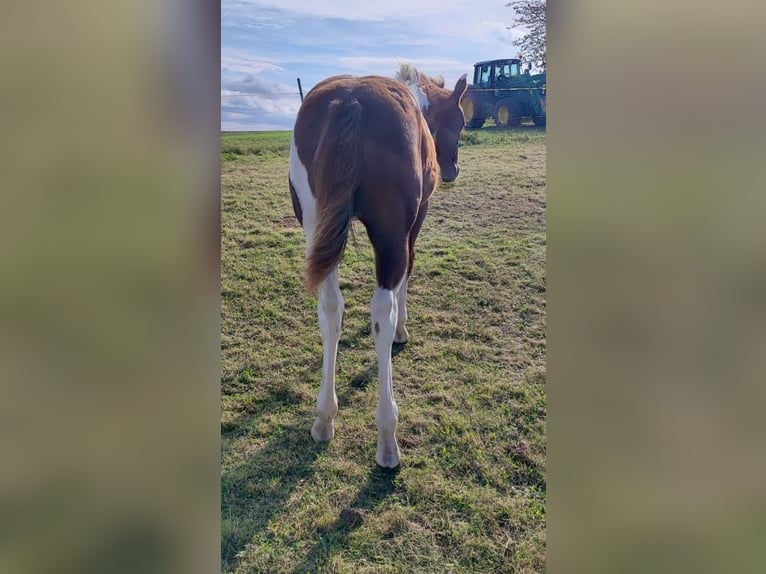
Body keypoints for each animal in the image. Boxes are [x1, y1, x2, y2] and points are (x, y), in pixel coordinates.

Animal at [288, 64, 468, 468]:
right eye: (462, 119)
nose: (451, 170)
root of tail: (351, 99)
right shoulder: (413, 226)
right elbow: (406, 279)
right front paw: (403, 329)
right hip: (390, 237)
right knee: (381, 313)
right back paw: (387, 436)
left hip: (318, 231)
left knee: (330, 309)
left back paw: (324, 418)